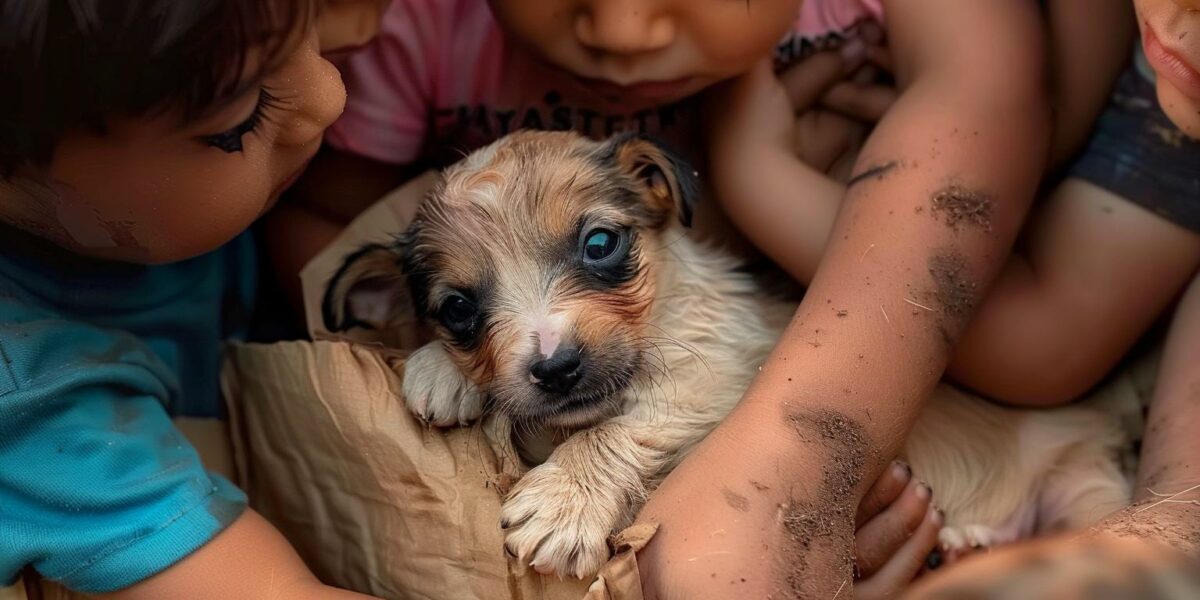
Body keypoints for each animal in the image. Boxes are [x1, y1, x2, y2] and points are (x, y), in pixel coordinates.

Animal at [324, 130, 1128, 576]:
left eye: (600, 242)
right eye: (458, 310)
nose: (555, 368)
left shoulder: (716, 378)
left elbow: (619, 429)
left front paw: (564, 502)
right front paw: (440, 369)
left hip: (1090, 492)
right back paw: (965, 542)